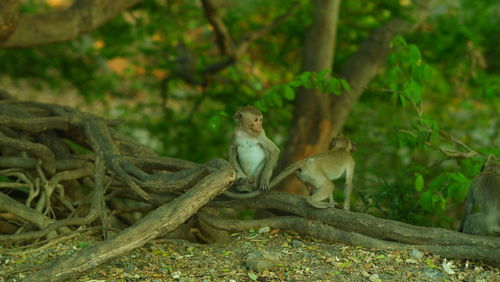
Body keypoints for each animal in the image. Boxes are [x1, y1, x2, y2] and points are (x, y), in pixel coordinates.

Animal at [225, 133, 358, 210]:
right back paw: (312, 202)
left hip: (305, 176)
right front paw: (346, 209)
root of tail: (305, 161)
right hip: (313, 173)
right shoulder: (351, 161)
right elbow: (348, 183)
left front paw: (334, 203)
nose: (329, 145)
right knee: (329, 185)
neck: (341, 149)